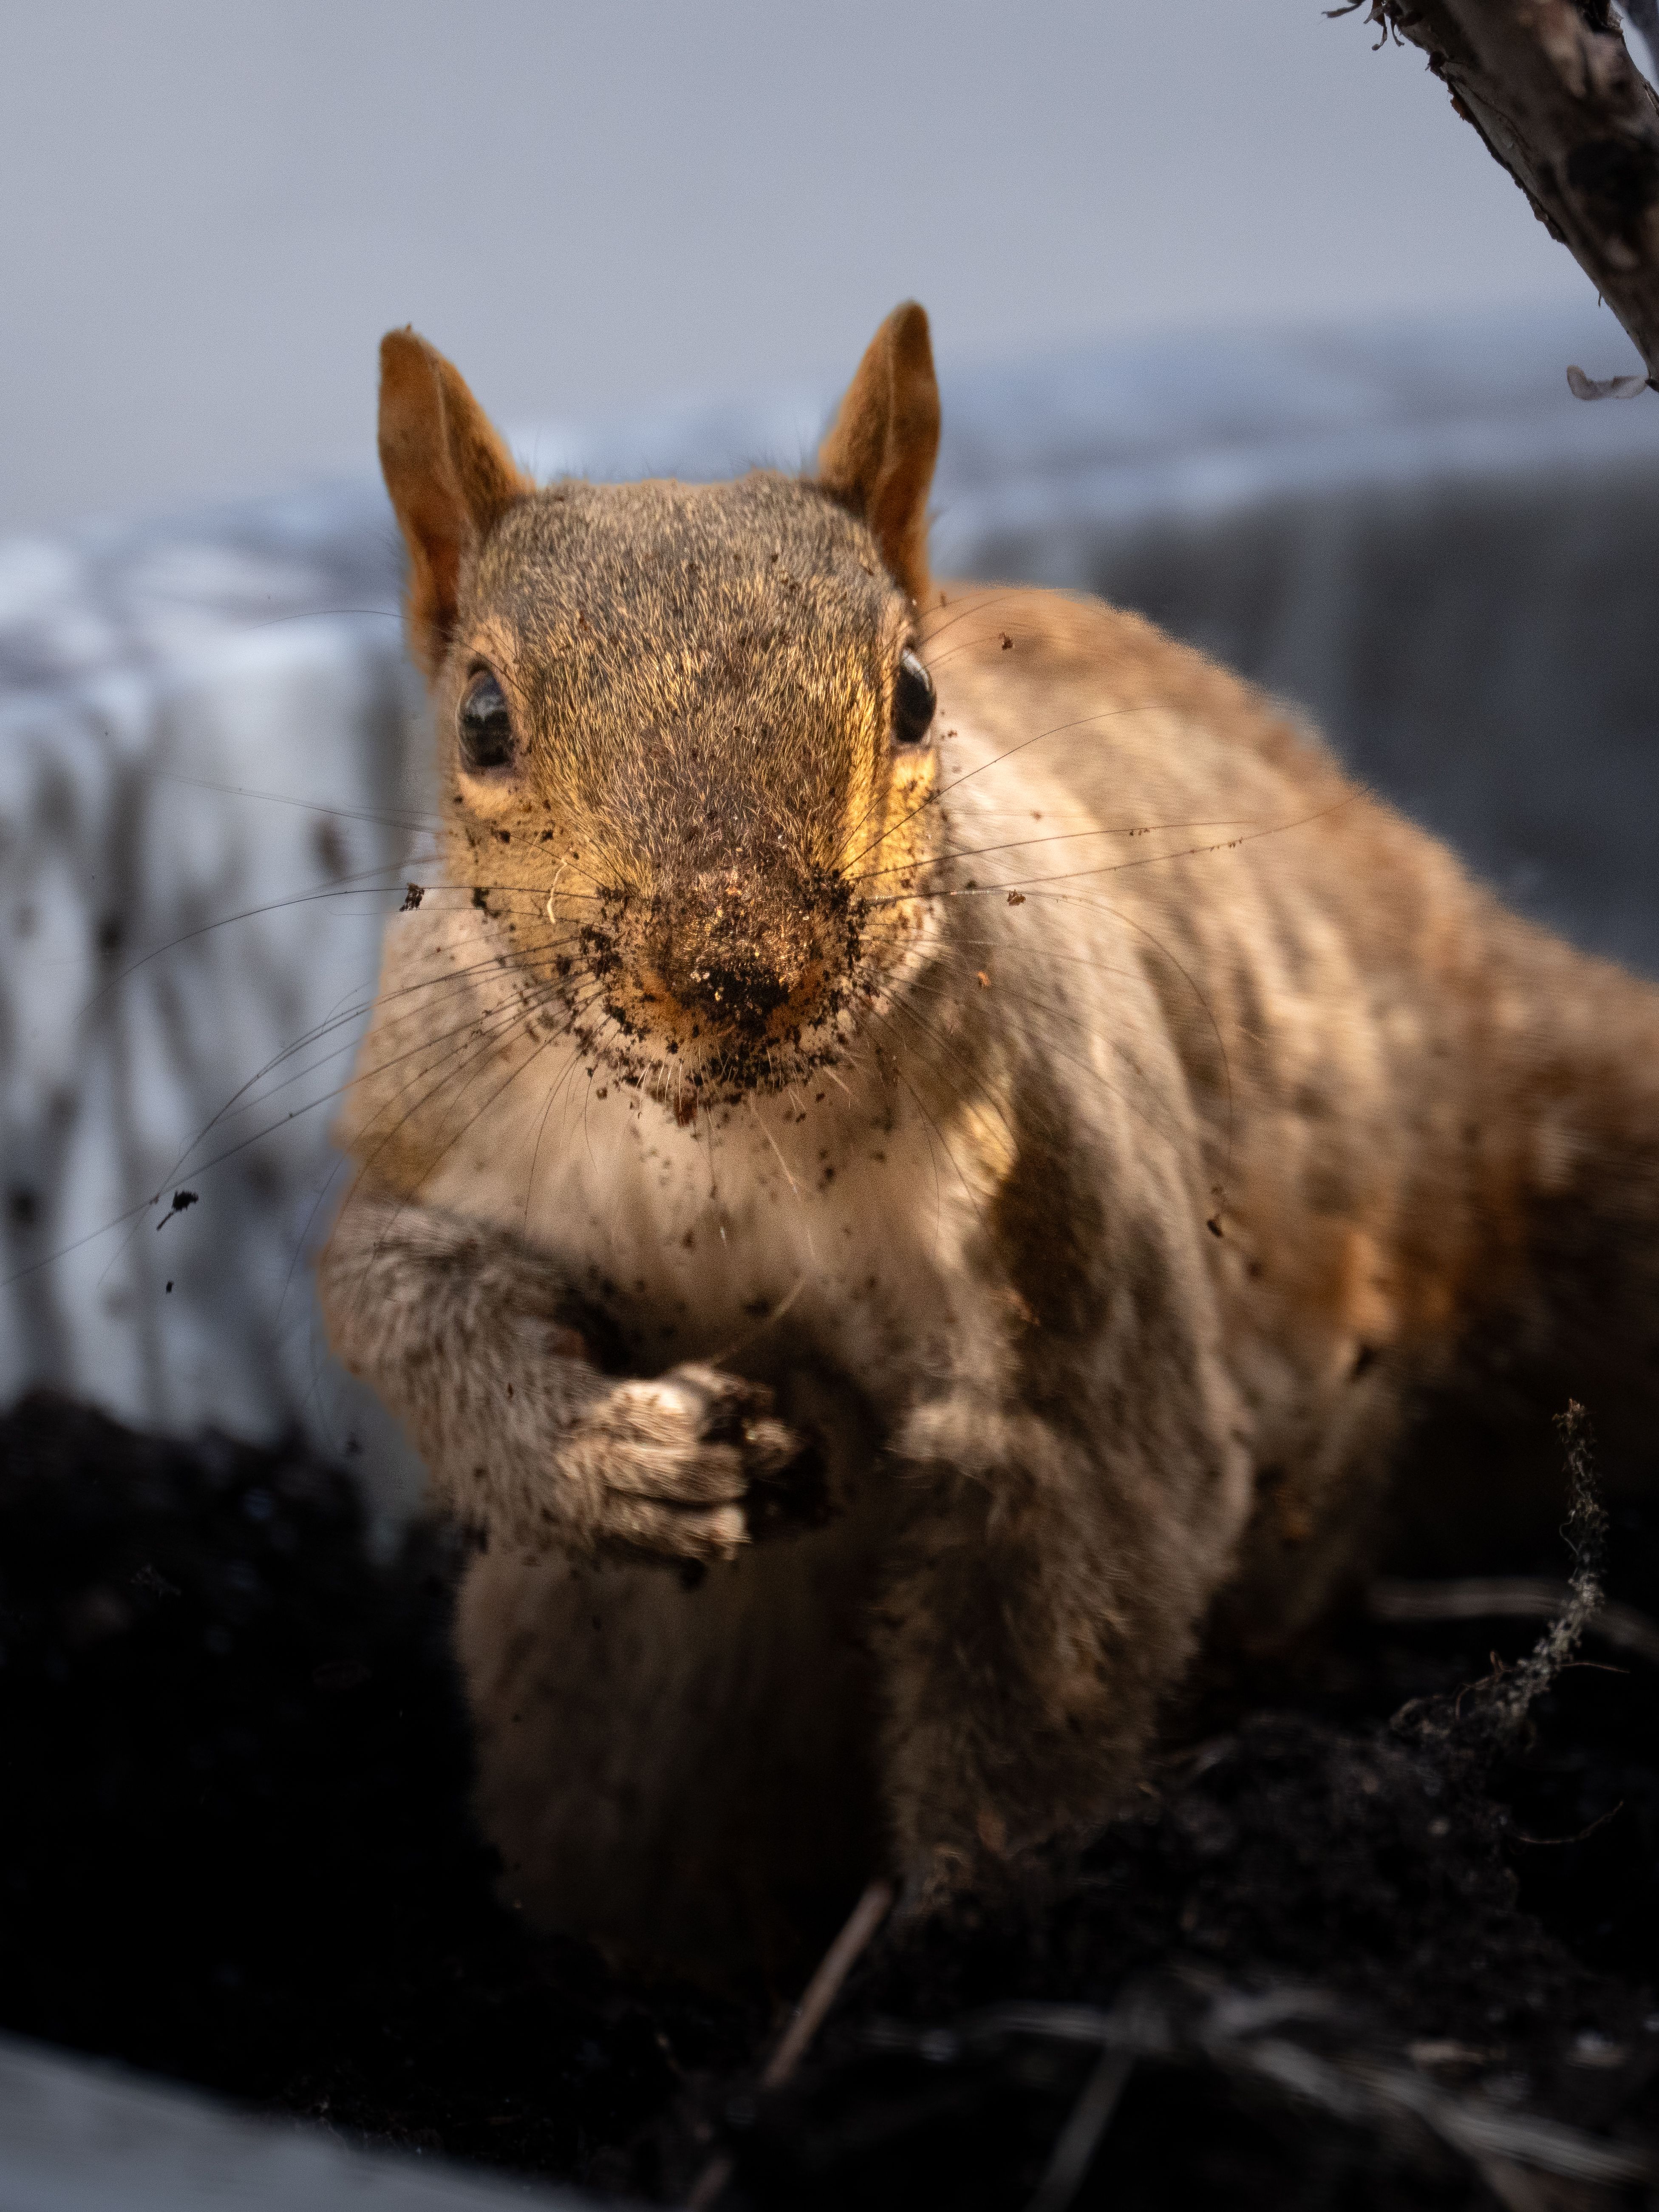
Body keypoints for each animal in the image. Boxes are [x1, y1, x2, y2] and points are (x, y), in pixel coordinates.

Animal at [319, 302, 1659, 1980]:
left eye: (909, 694)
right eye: (482, 719)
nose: (738, 970)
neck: (718, 1133)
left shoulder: (1066, 1244)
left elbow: (1064, 1598)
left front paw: (957, 1951)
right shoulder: (431, 1140)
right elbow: (391, 1298)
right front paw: (608, 1459)